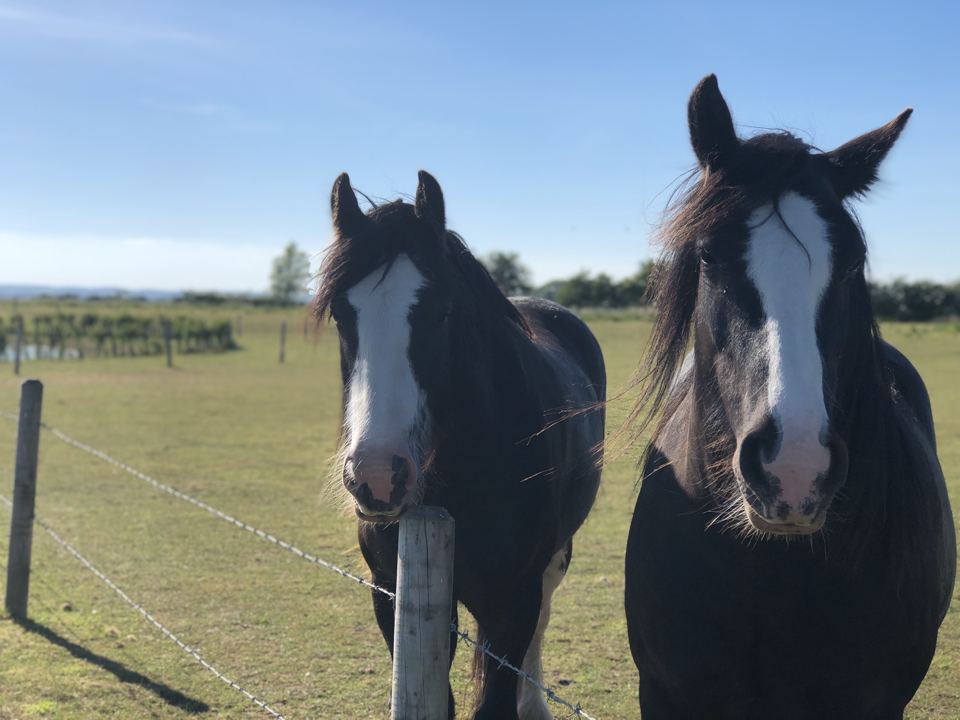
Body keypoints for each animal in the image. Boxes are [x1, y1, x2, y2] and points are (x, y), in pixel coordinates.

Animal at [315, 171, 606, 719]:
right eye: (341, 314)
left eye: (442, 311)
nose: (377, 476)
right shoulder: (392, 593)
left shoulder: (512, 600)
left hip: (554, 559)